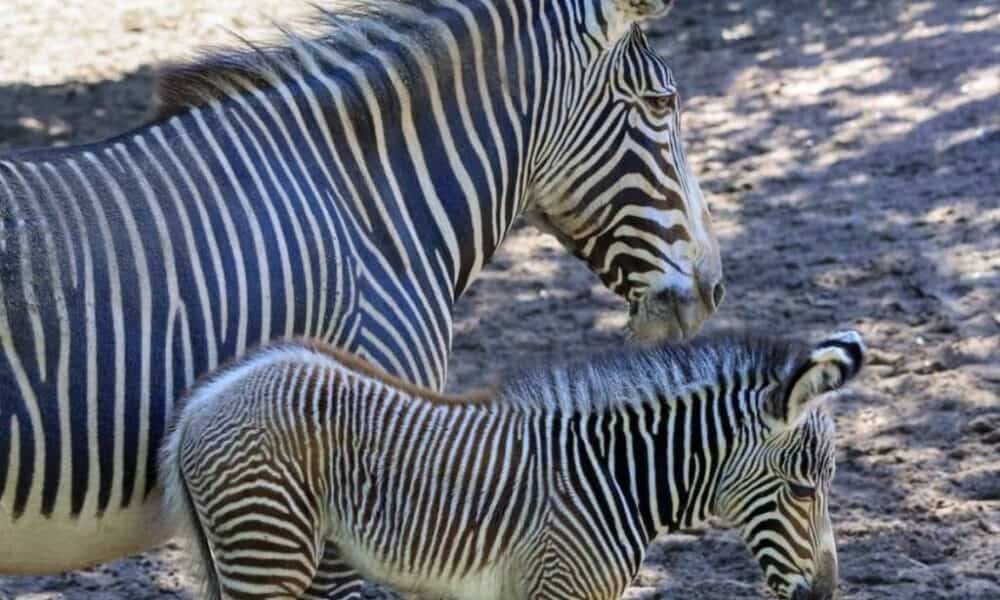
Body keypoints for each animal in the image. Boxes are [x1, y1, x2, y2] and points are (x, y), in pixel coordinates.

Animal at [163, 330, 864, 600]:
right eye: (803, 491)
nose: (826, 594)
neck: (615, 477)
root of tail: (201, 399)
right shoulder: (559, 587)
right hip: (269, 551)